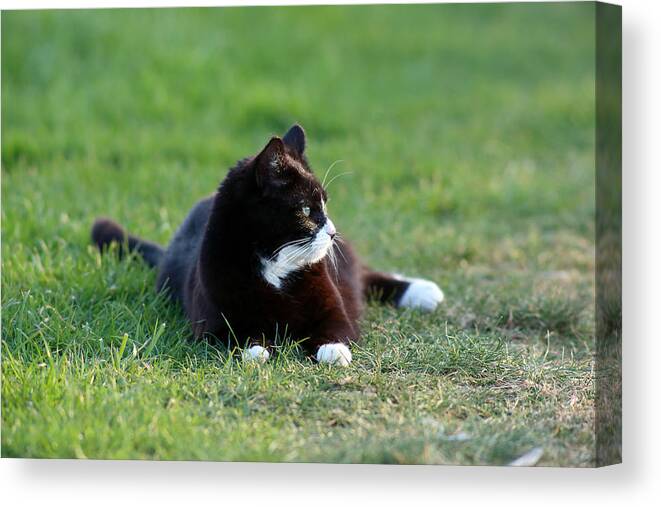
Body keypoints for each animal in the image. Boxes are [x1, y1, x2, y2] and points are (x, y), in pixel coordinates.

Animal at [91, 125, 444, 368]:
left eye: (325, 204)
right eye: (306, 209)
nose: (332, 233)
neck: (276, 265)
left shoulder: (331, 299)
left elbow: (337, 324)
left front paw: (332, 351)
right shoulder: (212, 319)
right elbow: (237, 338)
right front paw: (257, 350)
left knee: (365, 277)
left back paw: (424, 292)